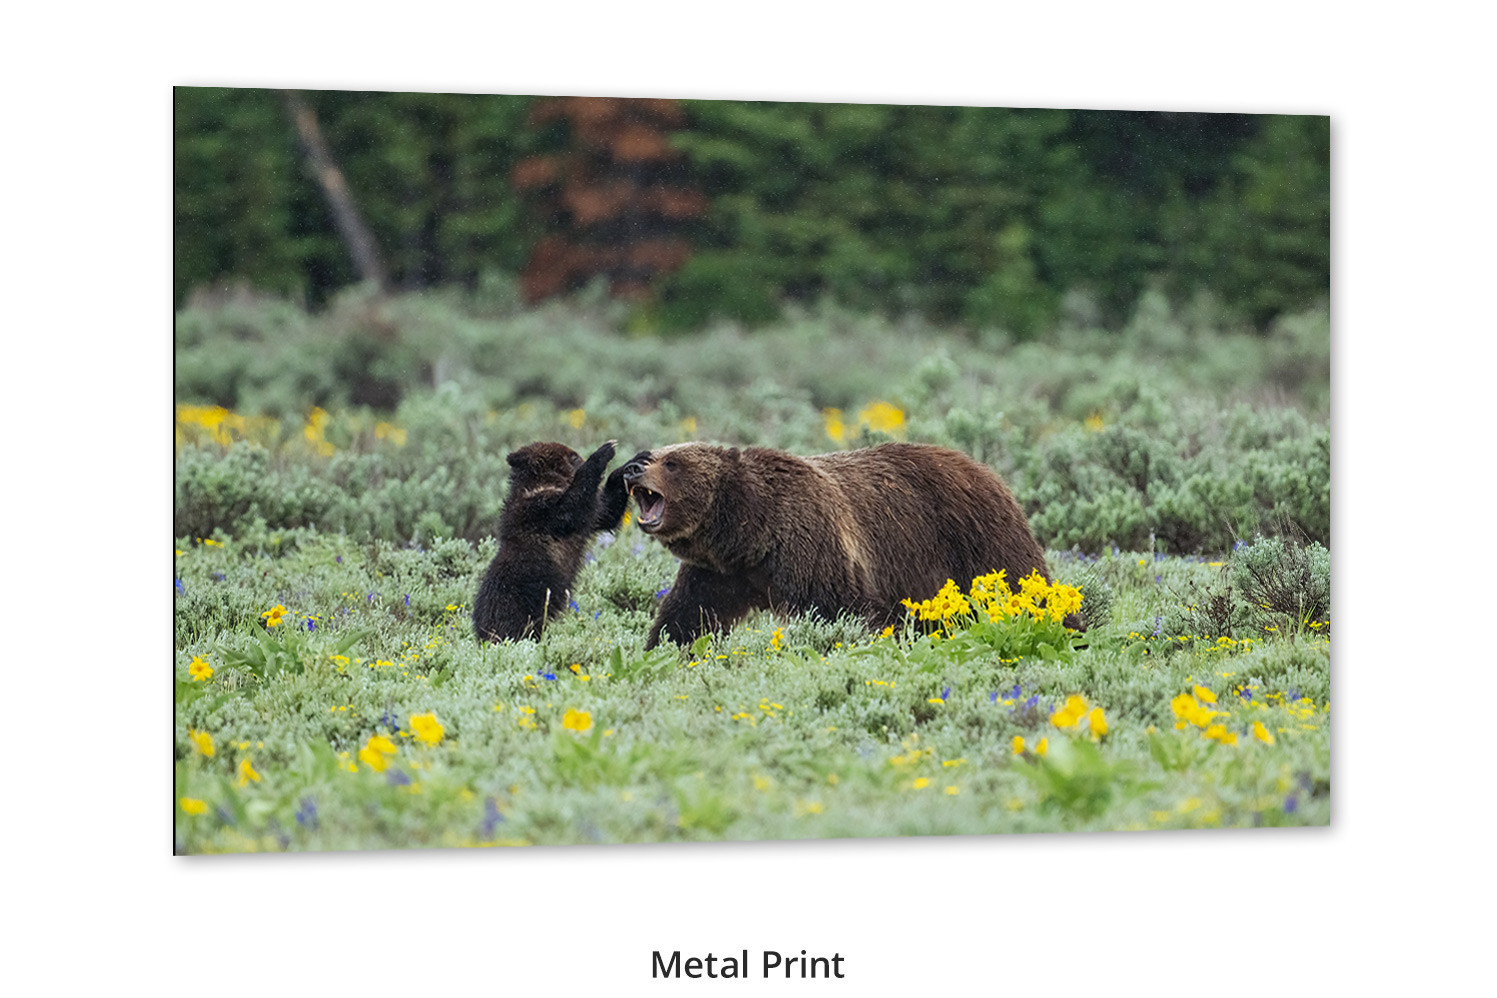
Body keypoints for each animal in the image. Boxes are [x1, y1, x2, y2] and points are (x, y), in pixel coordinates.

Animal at [472, 439, 630, 642]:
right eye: (574, 456)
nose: (581, 456)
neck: (545, 483)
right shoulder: (537, 510)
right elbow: (569, 509)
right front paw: (604, 451)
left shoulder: (590, 515)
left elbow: (606, 511)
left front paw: (626, 468)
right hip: (515, 598)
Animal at [619, 441, 1077, 648]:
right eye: (655, 454)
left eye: (671, 462)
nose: (633, 467)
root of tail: (986, 469)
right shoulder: (717, 573)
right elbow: (688, 614)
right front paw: (664, 646)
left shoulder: (815, 547)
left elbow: (840, 611)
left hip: (978, 539)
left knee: (1025, 583)